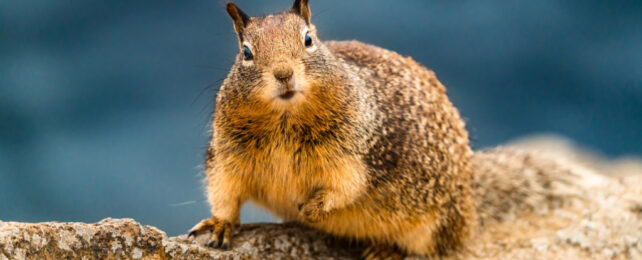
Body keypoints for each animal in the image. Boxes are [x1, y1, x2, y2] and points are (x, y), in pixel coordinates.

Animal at [186, 1, 476, 258]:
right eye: (246, 52)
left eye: (308, 39)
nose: (283, 73)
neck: (285, 120)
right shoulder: (226, 155)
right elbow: (224, 191)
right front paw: (219, 224)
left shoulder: (354, 154)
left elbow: (345, 187)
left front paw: (310, 210)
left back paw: (385, 250)